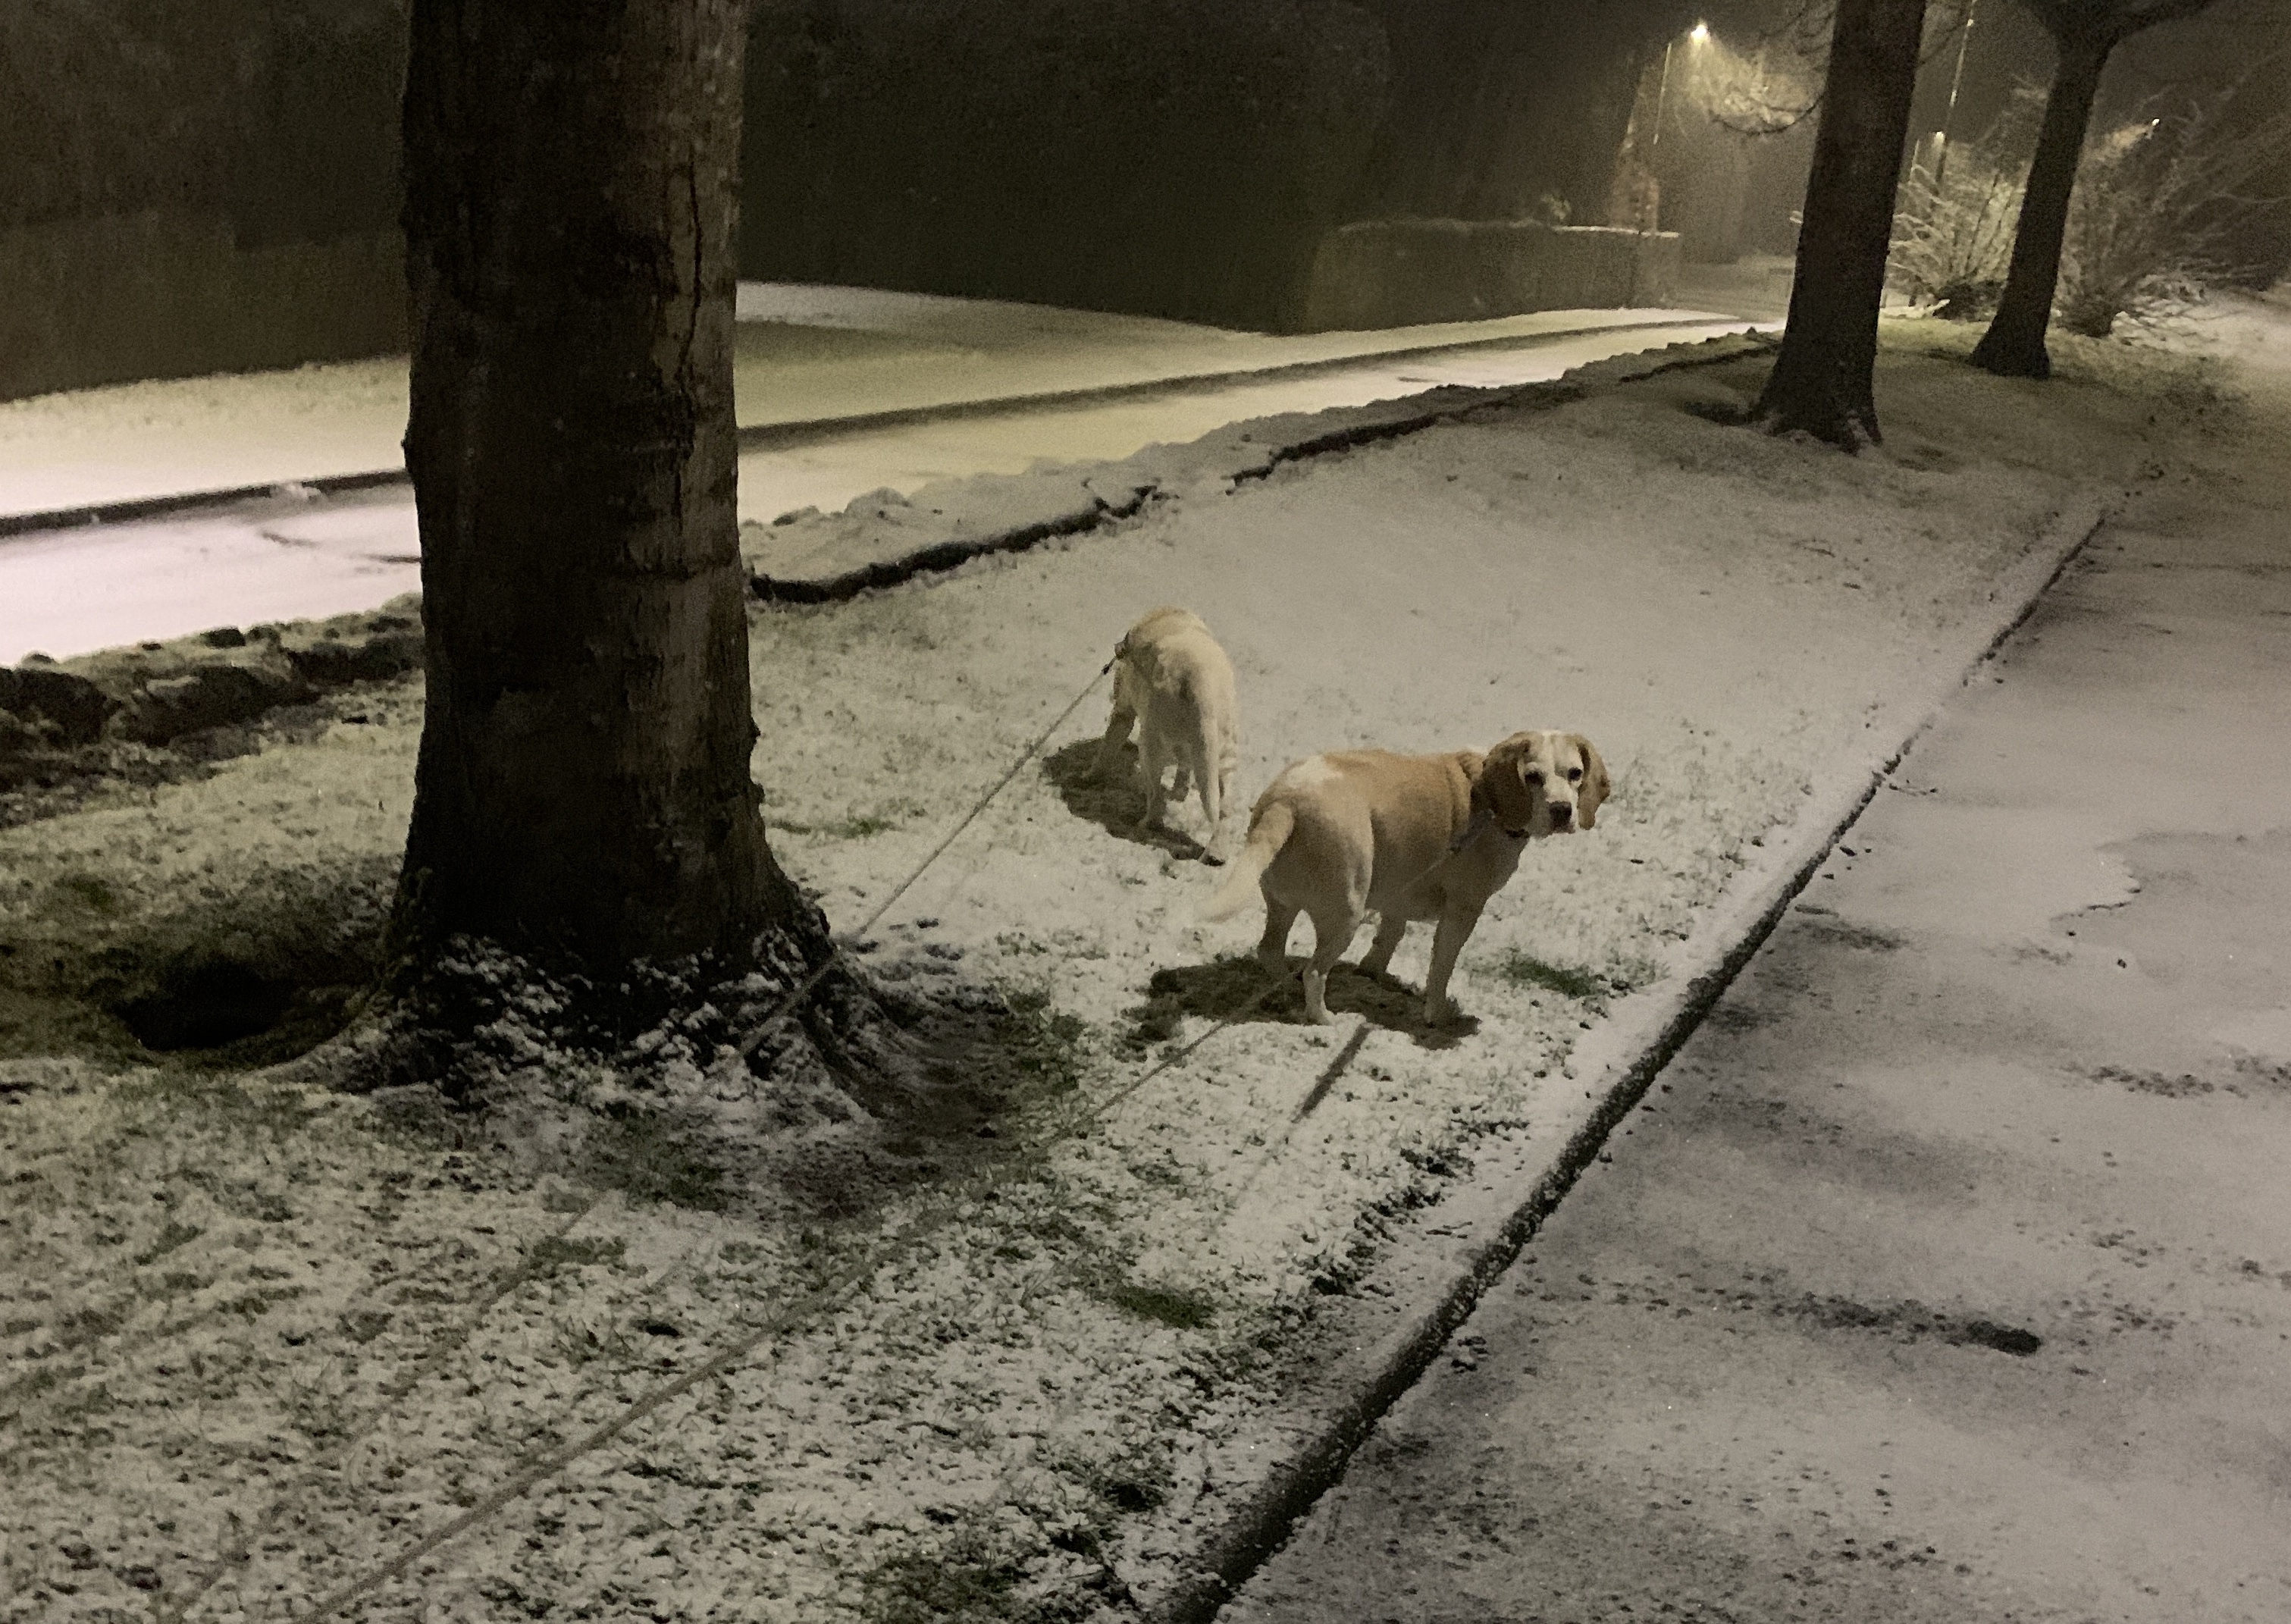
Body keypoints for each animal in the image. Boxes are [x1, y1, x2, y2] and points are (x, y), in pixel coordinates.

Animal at [1094, 607, 1240, 862]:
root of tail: (1202, 684)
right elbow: (1184, 769)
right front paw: (1179, 793)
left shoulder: (1123, 711)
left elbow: (1108, 748)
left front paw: (1089, 777)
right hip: (1223, 753)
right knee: (1223, 808)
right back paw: (1216, 854)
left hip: (1151, 745)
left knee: (1155, 797)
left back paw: (1148, 823)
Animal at [1200, 730, 1609, 1025]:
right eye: (1532, 777)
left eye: (1575, 774)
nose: (1563, 810)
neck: (1490, 799)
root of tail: (1286, 801)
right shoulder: (1463, 911)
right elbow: (1441, 968)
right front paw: (1436, 1015)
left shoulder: (1398, 894)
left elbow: (1389, 938)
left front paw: (1373, 974)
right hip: (1346, 916)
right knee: (1315, 972)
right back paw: (1324, 1020)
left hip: (1283, 905)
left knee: (1271, 952)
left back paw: (1285, 989)